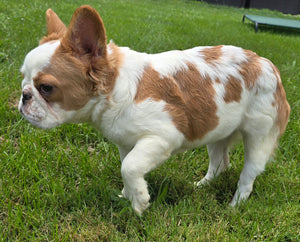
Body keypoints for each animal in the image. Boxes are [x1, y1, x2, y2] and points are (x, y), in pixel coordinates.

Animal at [19, 5, 290, 215]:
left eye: (46, 88)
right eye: (23, 79)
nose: (24, 96)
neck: (115, 88)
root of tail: (267, 64)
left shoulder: (164, 136)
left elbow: (129, 167)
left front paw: (140, 202)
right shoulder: (126, 142)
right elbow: (127, 165)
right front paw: (127, 195)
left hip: (258, 135)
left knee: (248, 173)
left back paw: (236, 205)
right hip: (217, 128)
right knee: (219, 163)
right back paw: (202, 186)